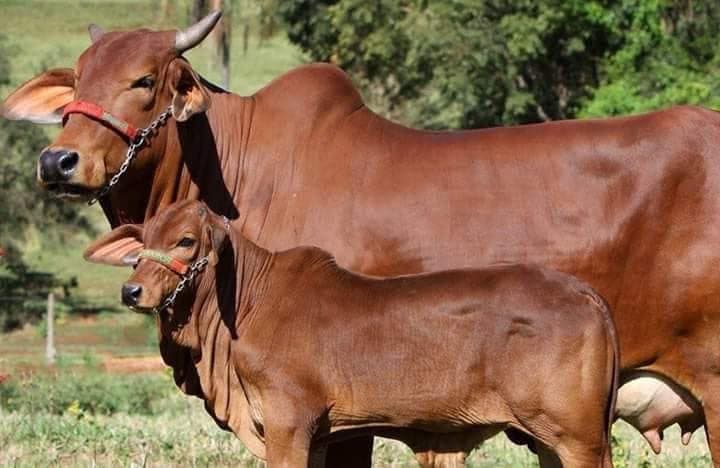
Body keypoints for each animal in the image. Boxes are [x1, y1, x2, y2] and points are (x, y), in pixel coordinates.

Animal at [84, 199, 619, 468]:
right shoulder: (317, 434)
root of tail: (584, 293)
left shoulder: (288, 424)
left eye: (186, 241)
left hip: (577, 437)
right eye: (143, 240)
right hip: (552, 440)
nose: (131, 291)